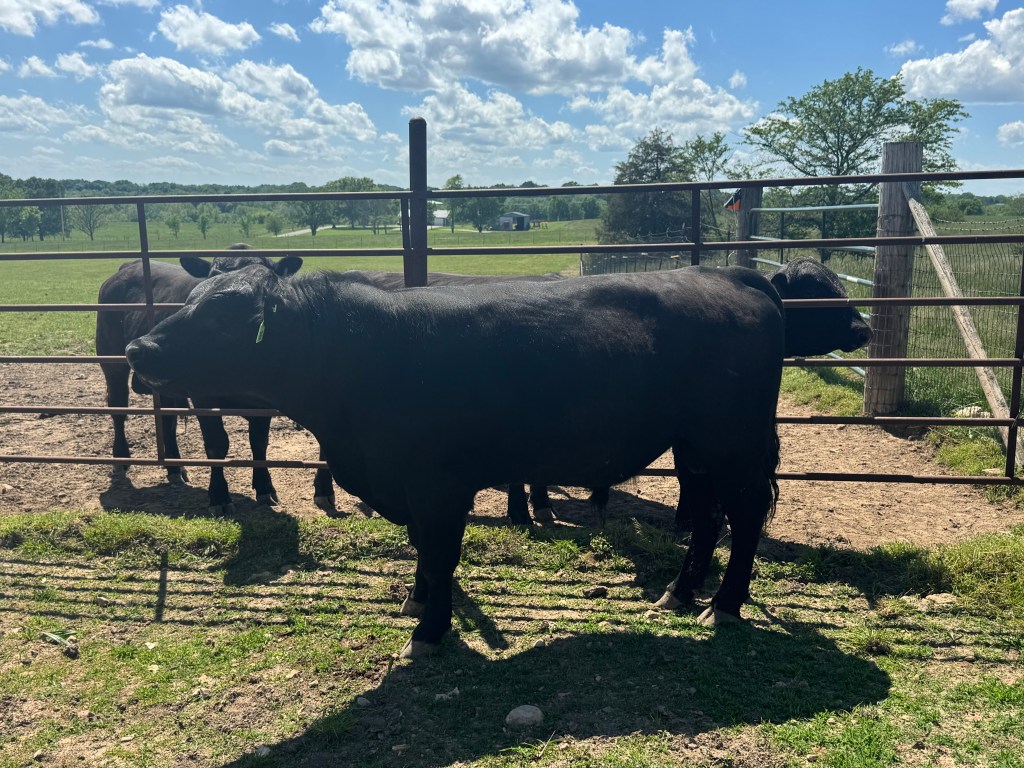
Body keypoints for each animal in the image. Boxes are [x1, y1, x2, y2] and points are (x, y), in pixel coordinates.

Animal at [95, 245, 302, 512]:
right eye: (212, 276)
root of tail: (125, 268)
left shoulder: (264, 400)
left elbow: (259, 442)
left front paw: (265, 488)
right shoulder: (203, 396)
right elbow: (216, 443)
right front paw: (219, 496)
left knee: (168, 418)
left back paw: (175, 468)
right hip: (112, 363)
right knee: (118, 408)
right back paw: (122, 457)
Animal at [126, 264, 786, 658]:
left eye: (225, 312)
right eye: (192, 298)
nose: (138, 347)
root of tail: (727, 275)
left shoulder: (438, 484)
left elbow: (440, 551)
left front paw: (430, 630)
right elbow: (423, 548)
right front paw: (419, 601)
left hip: (731, 440)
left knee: (746, 512)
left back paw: (724, 606)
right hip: (696, 447)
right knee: (708, 515)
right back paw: (680, 592)